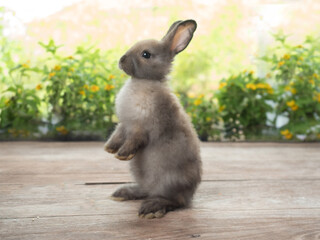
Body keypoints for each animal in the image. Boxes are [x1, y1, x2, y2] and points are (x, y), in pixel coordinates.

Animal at [104, 19, 201, 219]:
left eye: (146, 54)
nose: (121, 60)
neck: (143, 82)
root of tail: (189, 193)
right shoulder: (124, 125)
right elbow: (117, 135)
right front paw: (109, 149)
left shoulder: (141, 128)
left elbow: (133, 141)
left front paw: (122, 155)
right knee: (146, 191)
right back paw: (124, 193)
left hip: (170, 181)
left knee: (175, 201)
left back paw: (152, 208)